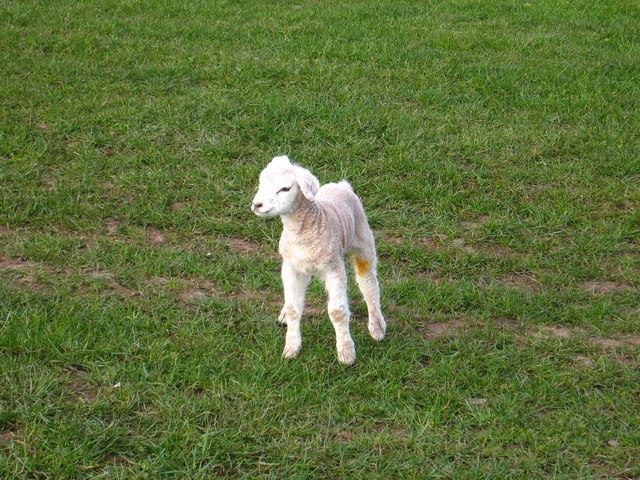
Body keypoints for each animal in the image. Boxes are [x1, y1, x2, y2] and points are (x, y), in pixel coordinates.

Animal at [251, 155, 386, 365]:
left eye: (285, 189)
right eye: (261, 181)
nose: (257, 205)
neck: (304, 232)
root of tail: (341, 185)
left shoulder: (334, 267)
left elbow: (338, 312)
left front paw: (346, 352)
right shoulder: (291, 267)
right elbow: (294, 308)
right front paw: (291, 348)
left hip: (363, 237)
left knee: (368, 281)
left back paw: (377, 327)